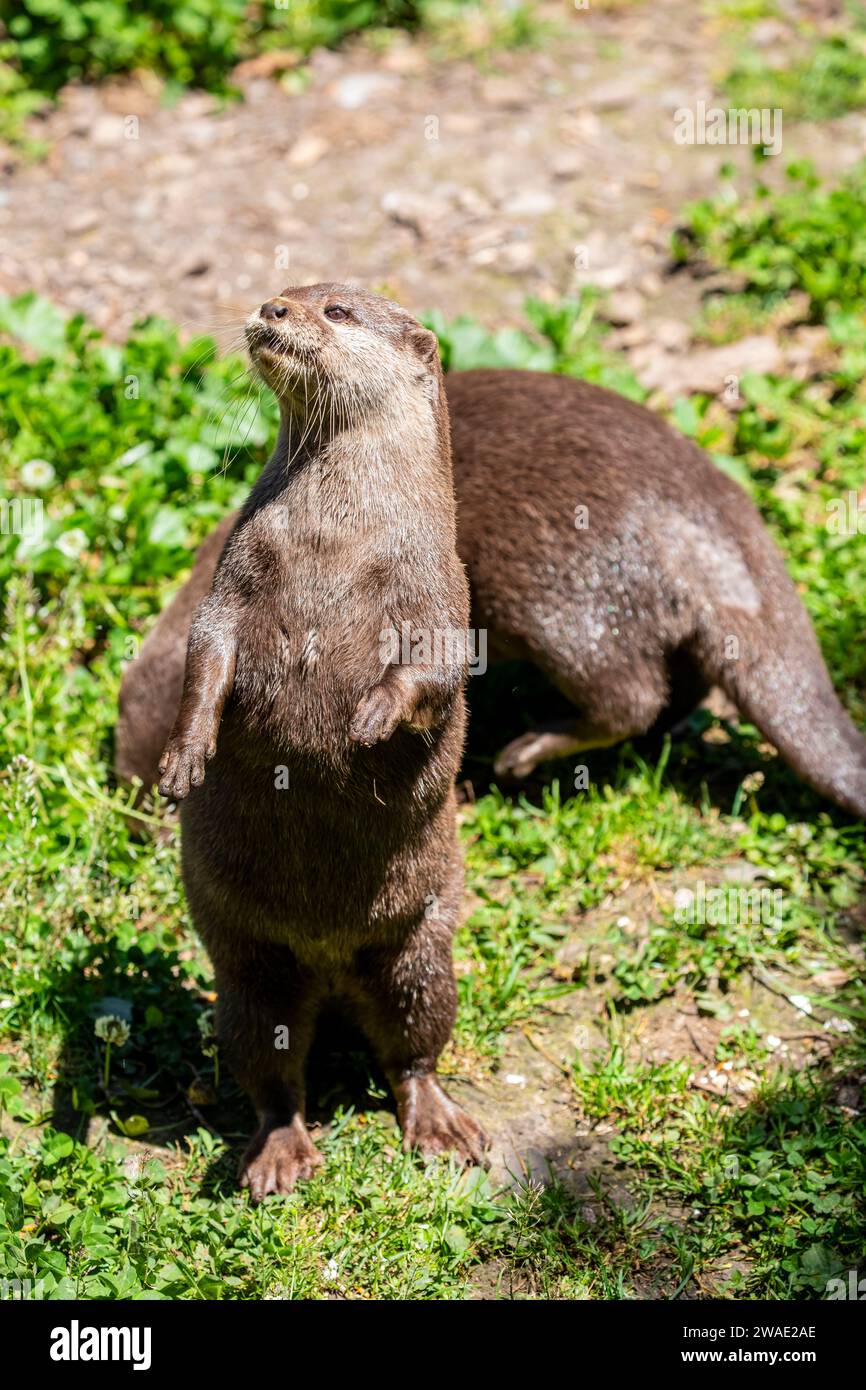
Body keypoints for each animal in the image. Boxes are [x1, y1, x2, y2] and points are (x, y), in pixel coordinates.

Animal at [155, 284, 489, 1195]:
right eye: (290, 293)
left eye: (336, 310)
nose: (273, 308)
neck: (335, 539)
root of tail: (334, 971)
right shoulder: (237, 571)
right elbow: (208, 653)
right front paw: (183, 757)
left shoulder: (436, 584)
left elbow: (434, 671)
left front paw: (371, 718)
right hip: (248, 971)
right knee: (273, 1071)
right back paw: (279, 1157)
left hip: (422, 949)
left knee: (413, 1048)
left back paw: (441, 1129)